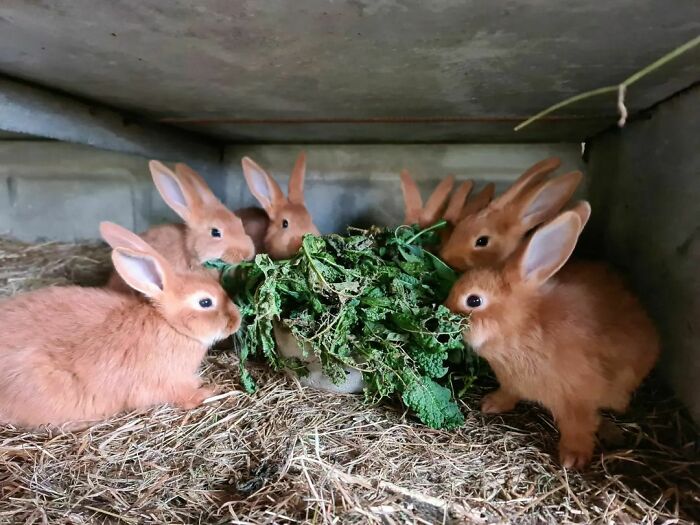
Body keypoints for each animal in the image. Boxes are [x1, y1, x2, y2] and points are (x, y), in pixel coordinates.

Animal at [0, 222, 241, 428]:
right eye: (205, 302)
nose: (236, 320)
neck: (169, 324)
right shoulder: (165, 382)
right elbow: (185, 396)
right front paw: (211, 390)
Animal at [444, 204, 659, 468]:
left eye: (474, 300)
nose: (443, 309)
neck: (523, 326)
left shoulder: (579, 399)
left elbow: (579, 426)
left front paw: (573, 458)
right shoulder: (512, 383)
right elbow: (508, 394)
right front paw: (491, 404)